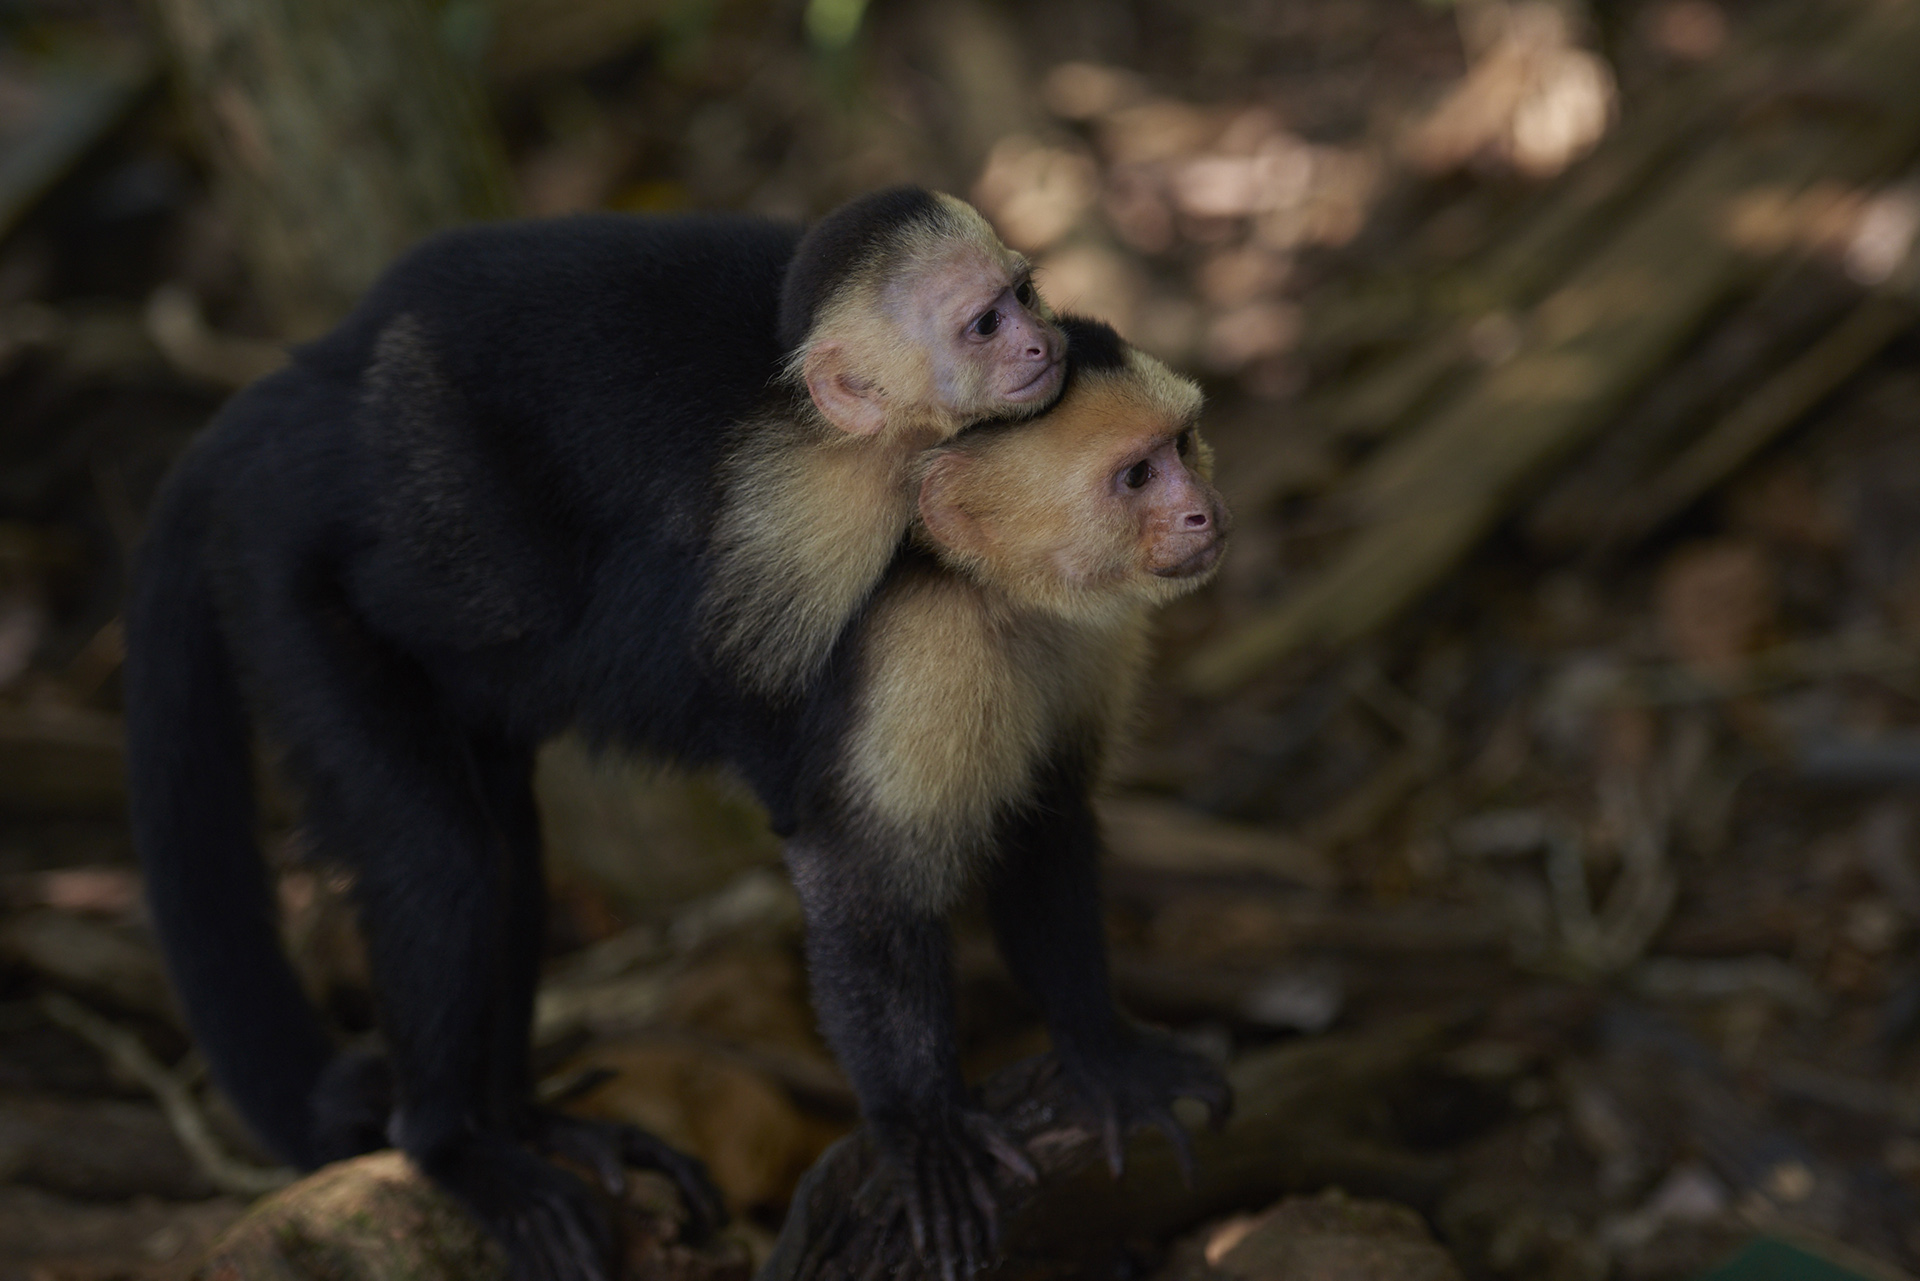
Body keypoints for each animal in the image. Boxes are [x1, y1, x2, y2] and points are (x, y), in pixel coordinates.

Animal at [123, 185, 1067, 1281]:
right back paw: (448, 1146)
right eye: (982, 324)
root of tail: (287, 396)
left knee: (506, 844)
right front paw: (922, 1125)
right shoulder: (804, 513)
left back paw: (519, 1119)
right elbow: (767, 735)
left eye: (1024, 291)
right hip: (287, 586)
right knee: (439, 842)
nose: (1042, 340)